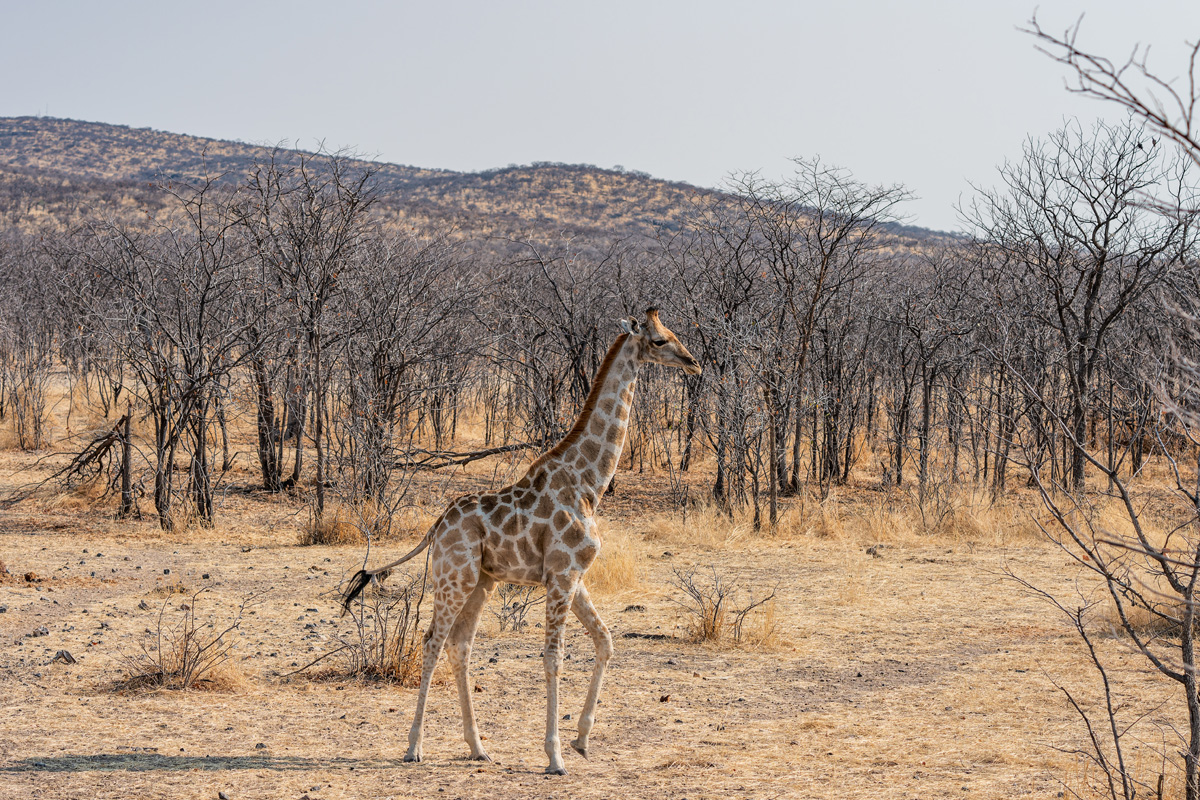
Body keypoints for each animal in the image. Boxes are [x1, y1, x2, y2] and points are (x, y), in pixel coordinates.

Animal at [341, 308, 701, 774]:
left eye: (673, 333)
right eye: (659, 340)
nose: (694, 363)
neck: (589, 483)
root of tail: (437, 525)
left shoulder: (574, 576)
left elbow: (605, 641)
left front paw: (582, 739)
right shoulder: (562, 575)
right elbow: (553, 657)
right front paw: (555, 755)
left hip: (482, 582)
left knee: (460, 646)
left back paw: (477, 747)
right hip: (454, 578)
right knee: (432, 642)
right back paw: (414, 747)